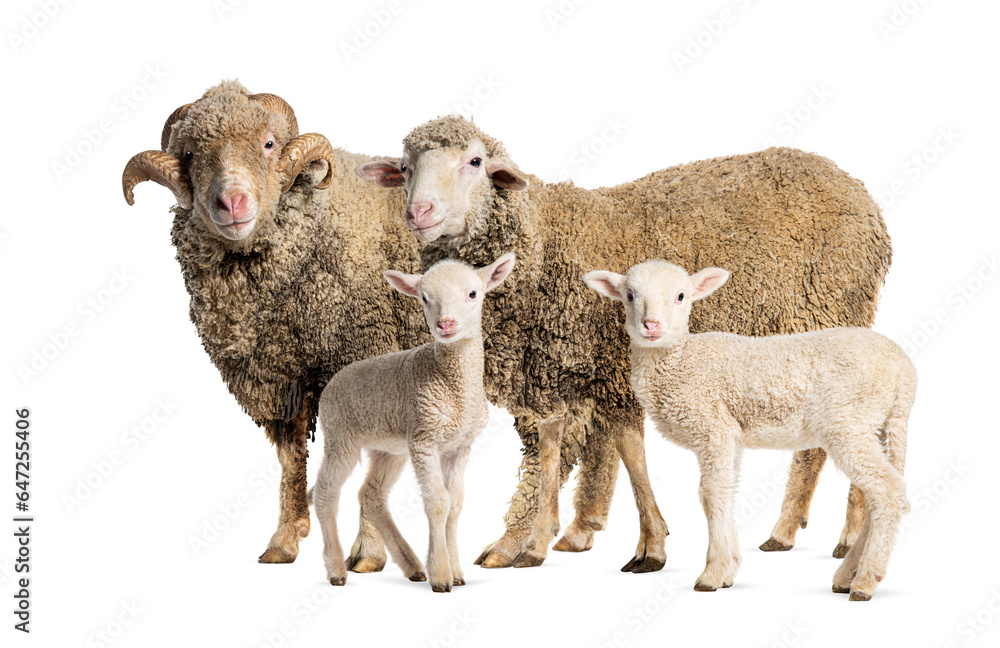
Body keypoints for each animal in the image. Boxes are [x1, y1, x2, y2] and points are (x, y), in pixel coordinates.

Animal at [121, 80, 432, 566]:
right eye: (189, 153)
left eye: (269, 144)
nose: (232, 202)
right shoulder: (279, 376)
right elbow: (289, 456)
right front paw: (285, 538)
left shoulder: (371, 354)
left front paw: (367, 550)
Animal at [312, 253, 515, 592]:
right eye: (424, 298)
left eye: (473, 294)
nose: (445, 324)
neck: (452, 384)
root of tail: (331, 382)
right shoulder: (425, 439)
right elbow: (437, 502)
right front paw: (442, 576)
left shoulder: (460, 446)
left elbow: (456, 503)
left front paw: (456, 572)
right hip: (341, 435)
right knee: (325, 491)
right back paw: (336, 571)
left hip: (389, 448)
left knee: (371, 495)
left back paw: (411, 565)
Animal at [354, 115, 893, 571]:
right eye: (405, 167)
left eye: (474, 162)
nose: (419, 211)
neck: (542, 248)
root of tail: (855, 187)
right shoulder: (554, 373)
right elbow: (553, 452)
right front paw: (533, 541)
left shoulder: (613, 369)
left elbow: (627, 452)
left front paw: (649, 545)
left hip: (833, 314)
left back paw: (825, 533)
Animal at [584, 260, 915, 600]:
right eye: (629, 295)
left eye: (680, 296)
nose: (651, 326)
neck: (680, 360)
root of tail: (903, 369)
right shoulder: (730, 435)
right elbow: (726, 492)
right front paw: (729, 570)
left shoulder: (713, 427)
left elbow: (711, 494)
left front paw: (711, 574)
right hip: (876, 425)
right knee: (883, 494)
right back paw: (848, 575)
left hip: (847, 422)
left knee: (887, 490)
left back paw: (865, 581)